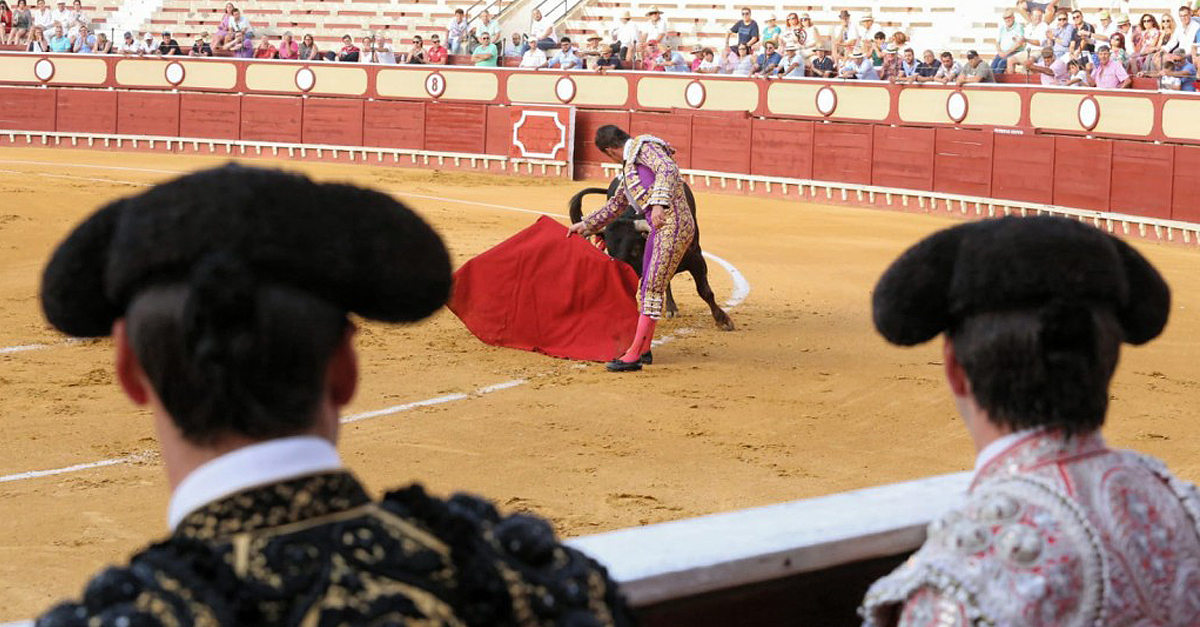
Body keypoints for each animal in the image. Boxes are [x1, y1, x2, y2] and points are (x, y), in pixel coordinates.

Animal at [566, 175, 734, 331]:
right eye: (611, 252)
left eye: (635, 249)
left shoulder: (696, 259)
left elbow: (705, 291)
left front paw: (723, 320)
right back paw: (671, 308)